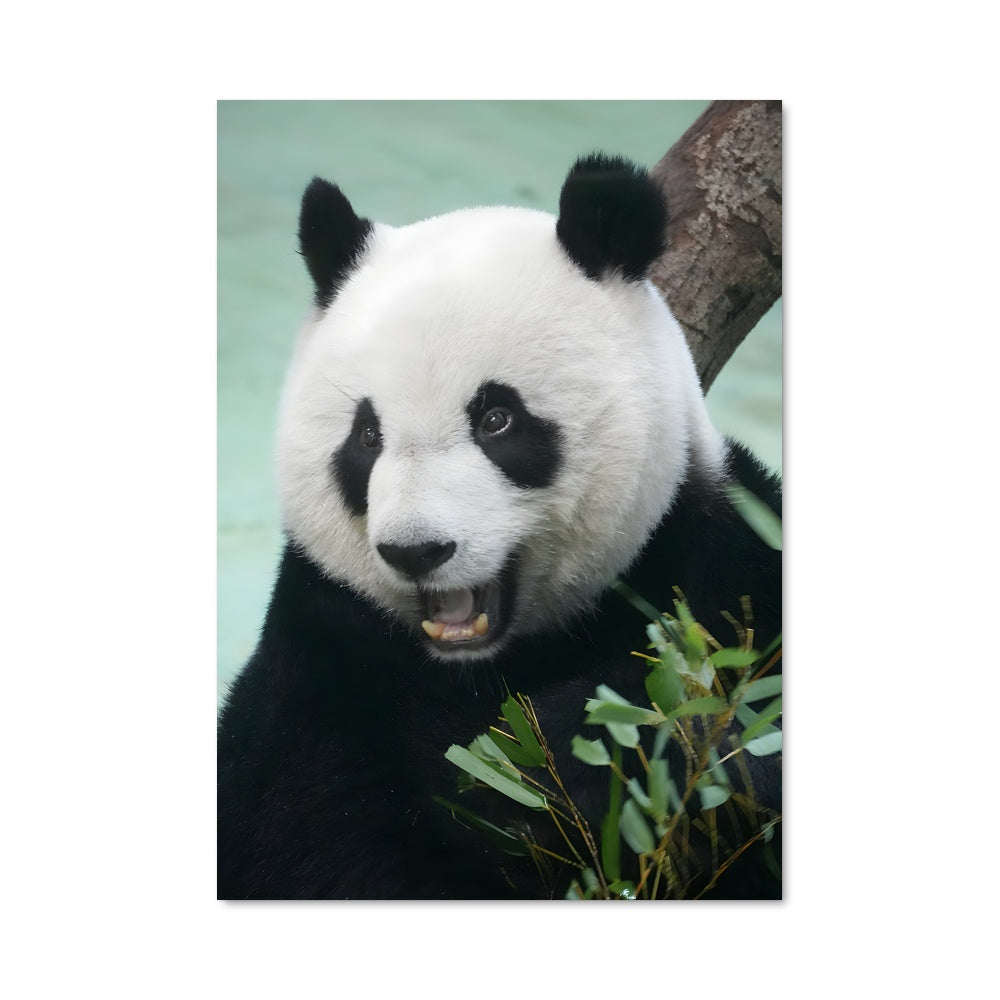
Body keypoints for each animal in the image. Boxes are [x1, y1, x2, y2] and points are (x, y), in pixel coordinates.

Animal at [217, 153, 782, 900]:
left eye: (497, 419)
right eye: (366, 436)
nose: (416, 550)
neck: (486, 665)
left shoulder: (717, 564)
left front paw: (556, 753)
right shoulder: (324, 656)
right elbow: (312, 832)